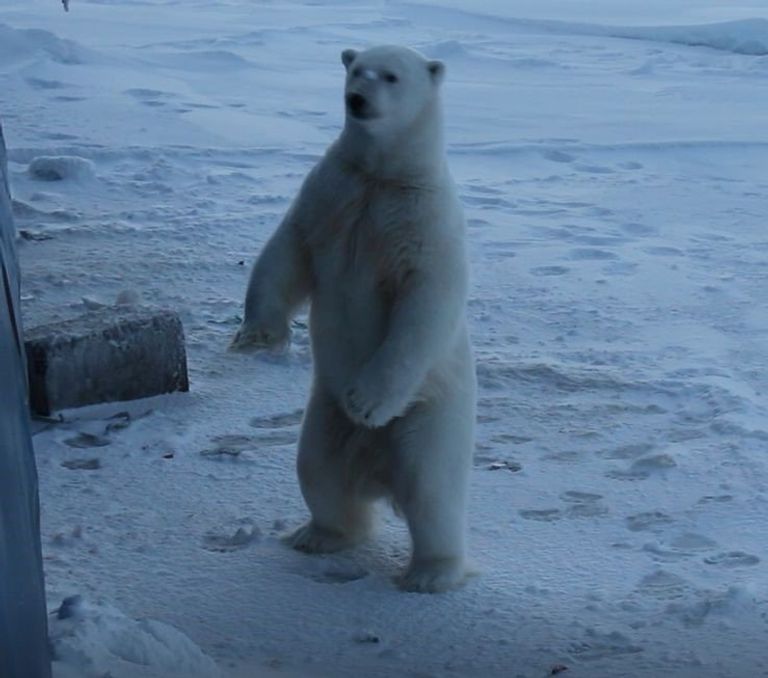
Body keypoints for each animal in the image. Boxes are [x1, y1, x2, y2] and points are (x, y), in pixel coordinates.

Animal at [231, 45, 476, 593]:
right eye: (355, 68)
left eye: (390, 76)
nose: (357, 99)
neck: (381, 176)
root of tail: (376, 472)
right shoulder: (332, 192)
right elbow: (288, 250)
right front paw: (256, 336)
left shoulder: (422, 220)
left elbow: (422, 306)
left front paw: (365, 400)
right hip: (323, 419)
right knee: (318, 471)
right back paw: (319, 535)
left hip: (430, 418)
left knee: (430, 490)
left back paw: (430, 573)